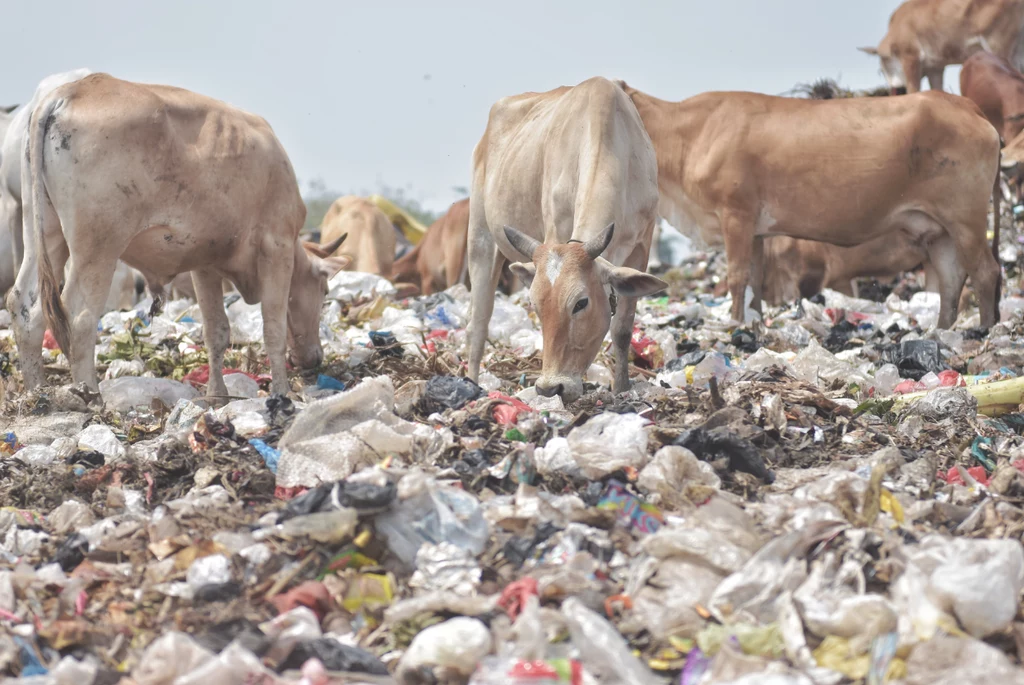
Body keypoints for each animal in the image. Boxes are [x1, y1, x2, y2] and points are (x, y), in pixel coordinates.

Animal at [4, 70, 350, 395]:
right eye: (324, 291)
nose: (314, 358)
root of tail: (72, 90)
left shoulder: (206, 263)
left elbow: (216, 332)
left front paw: (217, 394)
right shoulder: (276, 247)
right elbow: (273, 329)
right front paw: (281, 393)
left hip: (44, 235)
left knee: (26, 309)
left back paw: (38, 391)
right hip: (98, 246)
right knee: (80, 316)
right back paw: (89, 394)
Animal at [464, 77, 663, 403]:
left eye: (581, 303)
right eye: (535, 304)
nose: (549, 388)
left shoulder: (642, 247)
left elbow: (622, 330)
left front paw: (622, 387)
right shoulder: (554, 232)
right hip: (480, 239)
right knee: (477, 324)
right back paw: (470, 384)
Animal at [618, 81, 1003, 327]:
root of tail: (961, 103)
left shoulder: (736, 215)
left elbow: (737, 277)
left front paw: (734, 324)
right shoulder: (756, 230)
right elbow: (754, 282)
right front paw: (752, 324)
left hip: (965, 220)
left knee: (986, 273)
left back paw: (984, 330)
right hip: (937, 230)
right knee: (952, 281)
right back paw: (942, 331)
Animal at [856, 0, 1024, 93]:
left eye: (881, 69)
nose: (896, 89)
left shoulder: (910, 58)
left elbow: (914, 91)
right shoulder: (935, 67)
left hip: (998, 48)